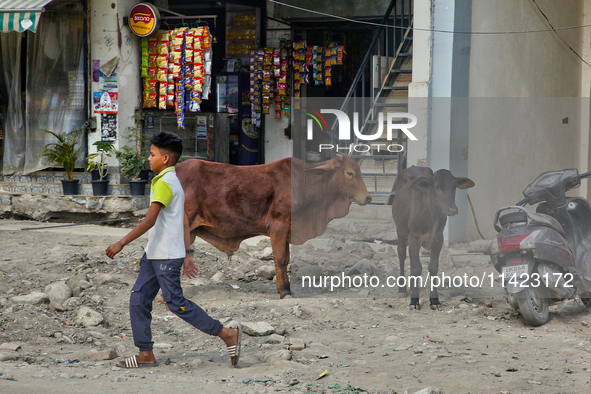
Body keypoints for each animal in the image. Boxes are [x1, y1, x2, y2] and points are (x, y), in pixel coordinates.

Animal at [176, 154, 372, 298]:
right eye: (349, 173)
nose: (368, 198)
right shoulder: (278, 226)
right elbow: (280, 259)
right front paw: (284, 291)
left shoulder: (287, 231)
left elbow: (286, 259)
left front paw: (287, 288)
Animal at [394, 165, 476, 310]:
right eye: (437, 186)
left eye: (454, 187)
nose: (452, 210)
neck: (430, 213)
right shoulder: (413, 236)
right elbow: (417, 267)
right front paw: (414, 301)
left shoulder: (438, 238)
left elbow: (432, 267)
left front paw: (435, 301)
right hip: (400, 229)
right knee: (402, 254)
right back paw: (402, 289)